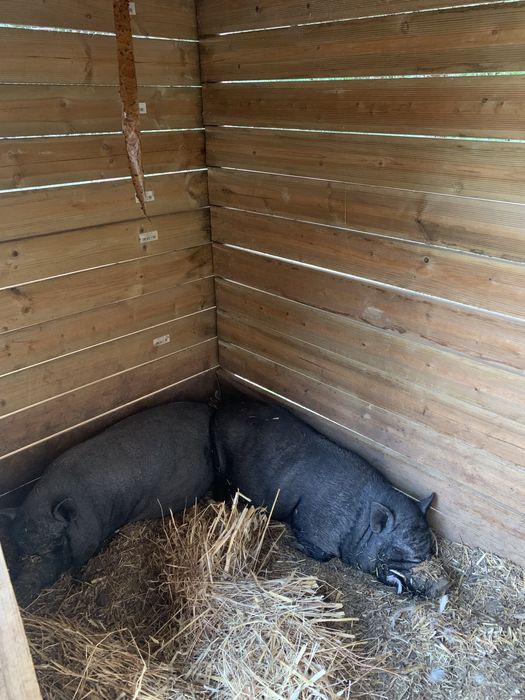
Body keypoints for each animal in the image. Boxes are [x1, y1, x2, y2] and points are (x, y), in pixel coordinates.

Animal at [0, 402, 214, 605]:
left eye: (57, 544)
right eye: (19, 549)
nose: (22, 586)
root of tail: (209, 410)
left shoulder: (91, 539)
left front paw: (77, 581)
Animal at [212, 400, 449, 598]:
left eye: (430, 545)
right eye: (401, 550)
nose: (443, 585)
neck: (359, 522)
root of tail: (223, 406)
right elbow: (323, 554)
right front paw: (294, 544)